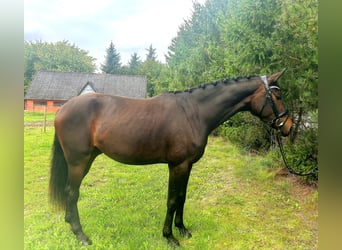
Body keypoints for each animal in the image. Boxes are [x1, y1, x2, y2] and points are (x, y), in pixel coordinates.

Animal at [49, 69, 292, 246]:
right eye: (278, 95)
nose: (288, 126)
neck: (195, 113)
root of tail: (63, 109)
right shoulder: (177, 165)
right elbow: (173, 199)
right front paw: (169, 237)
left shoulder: (187, 165)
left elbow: (182, 197)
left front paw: (182, 229)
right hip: (78, 162)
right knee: (72, 192)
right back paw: (81, 236)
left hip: (86, 160)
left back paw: (70, 223)